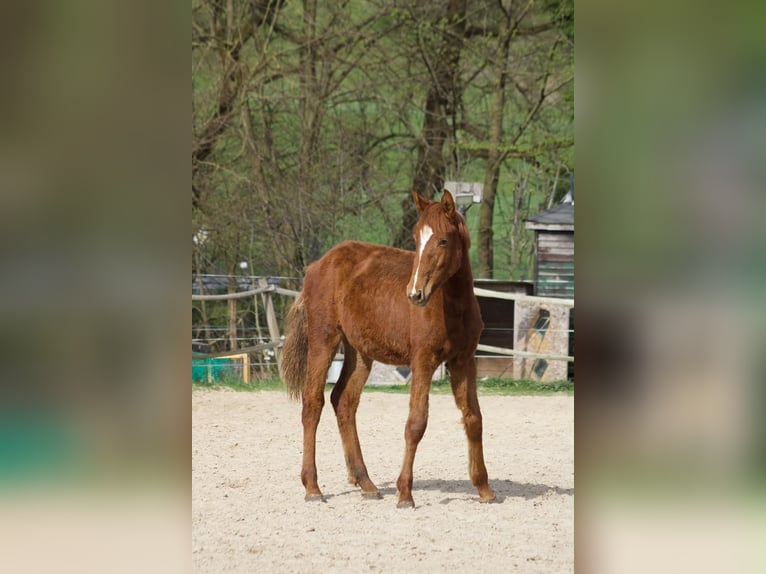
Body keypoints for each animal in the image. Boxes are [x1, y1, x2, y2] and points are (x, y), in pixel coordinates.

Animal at [280, 190, 495, 508]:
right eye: (416, 239)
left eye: (443, 240)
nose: (415, 294)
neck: (451, 306)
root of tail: (316, 266)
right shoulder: (423, 361)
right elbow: (416, 423)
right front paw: (405, 493)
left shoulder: (464, 361)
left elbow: (474, 418)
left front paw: (484, 489)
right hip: (324, 340)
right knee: (312, 403)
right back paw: (313, 487)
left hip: (360, 353)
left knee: (344, 401)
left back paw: (365, 482)